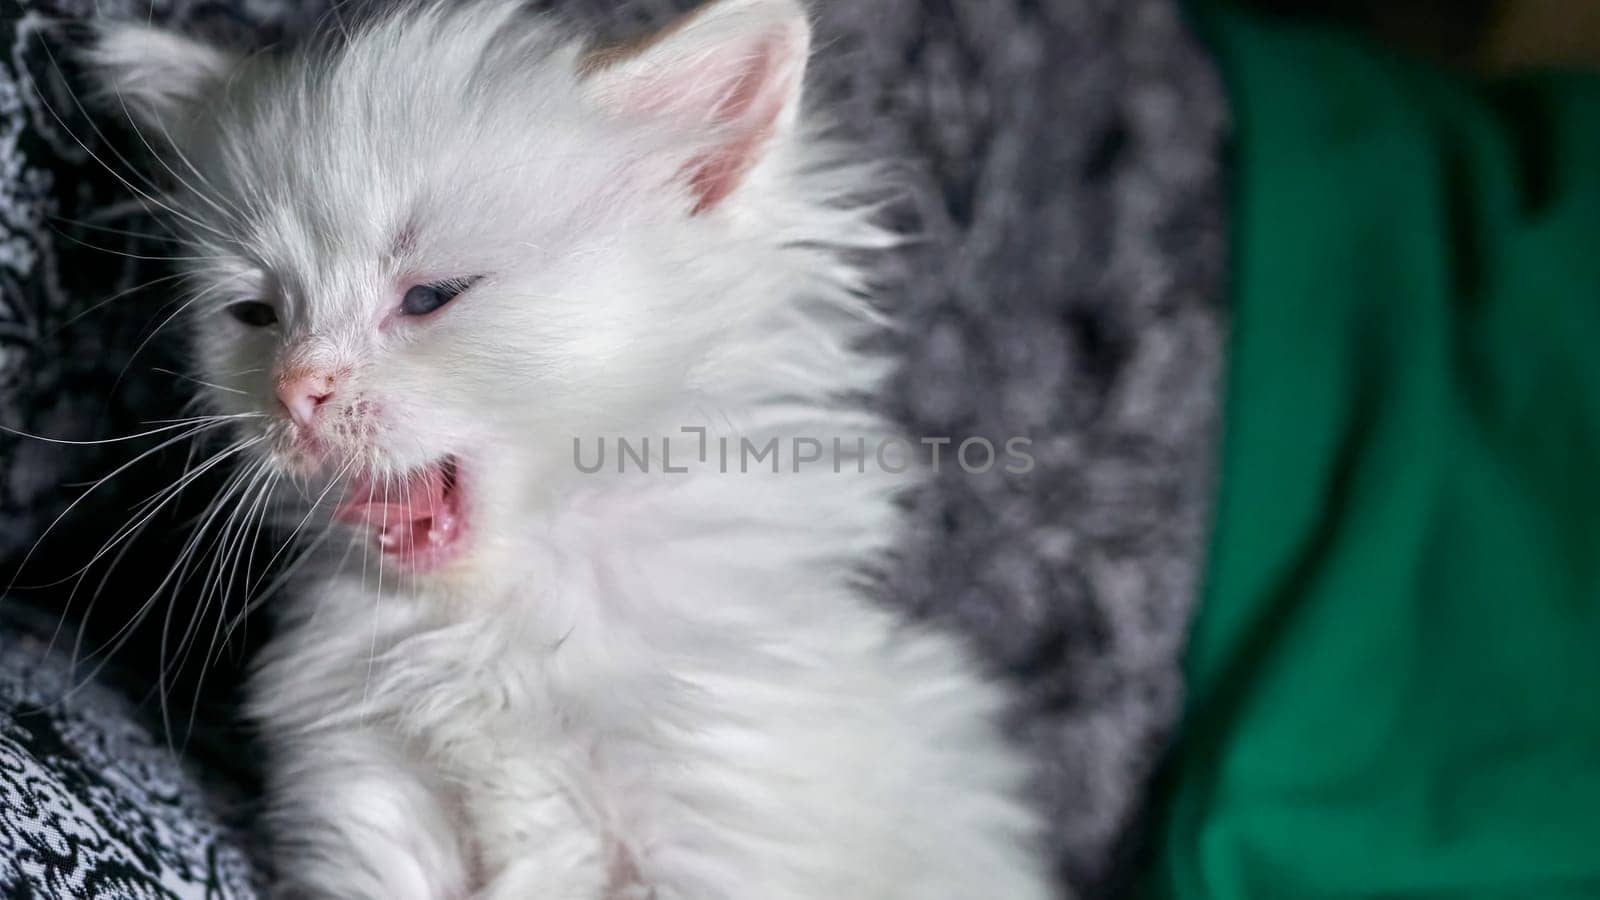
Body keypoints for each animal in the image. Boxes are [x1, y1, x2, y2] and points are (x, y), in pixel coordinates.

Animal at [93, 3, 1056, 890]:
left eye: (430, 296)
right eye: (256, 315)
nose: (295, 390)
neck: (498, 621)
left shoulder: (713, 823)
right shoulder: (373, 791)